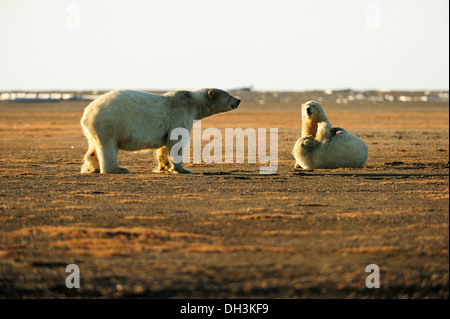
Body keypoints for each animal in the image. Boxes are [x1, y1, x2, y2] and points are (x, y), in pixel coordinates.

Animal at [81, 88, 243, 175]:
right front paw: (184, 170)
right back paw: (119, 169)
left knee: (93, 147)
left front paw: (164, 168)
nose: (239, 100)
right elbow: (177, 141)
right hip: (109, 123)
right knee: (108, 147)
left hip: (94, 129)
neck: (192, 101)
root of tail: (86, 113)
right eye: (228, 94)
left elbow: (165, 145)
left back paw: (91, 167)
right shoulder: (180, 114)